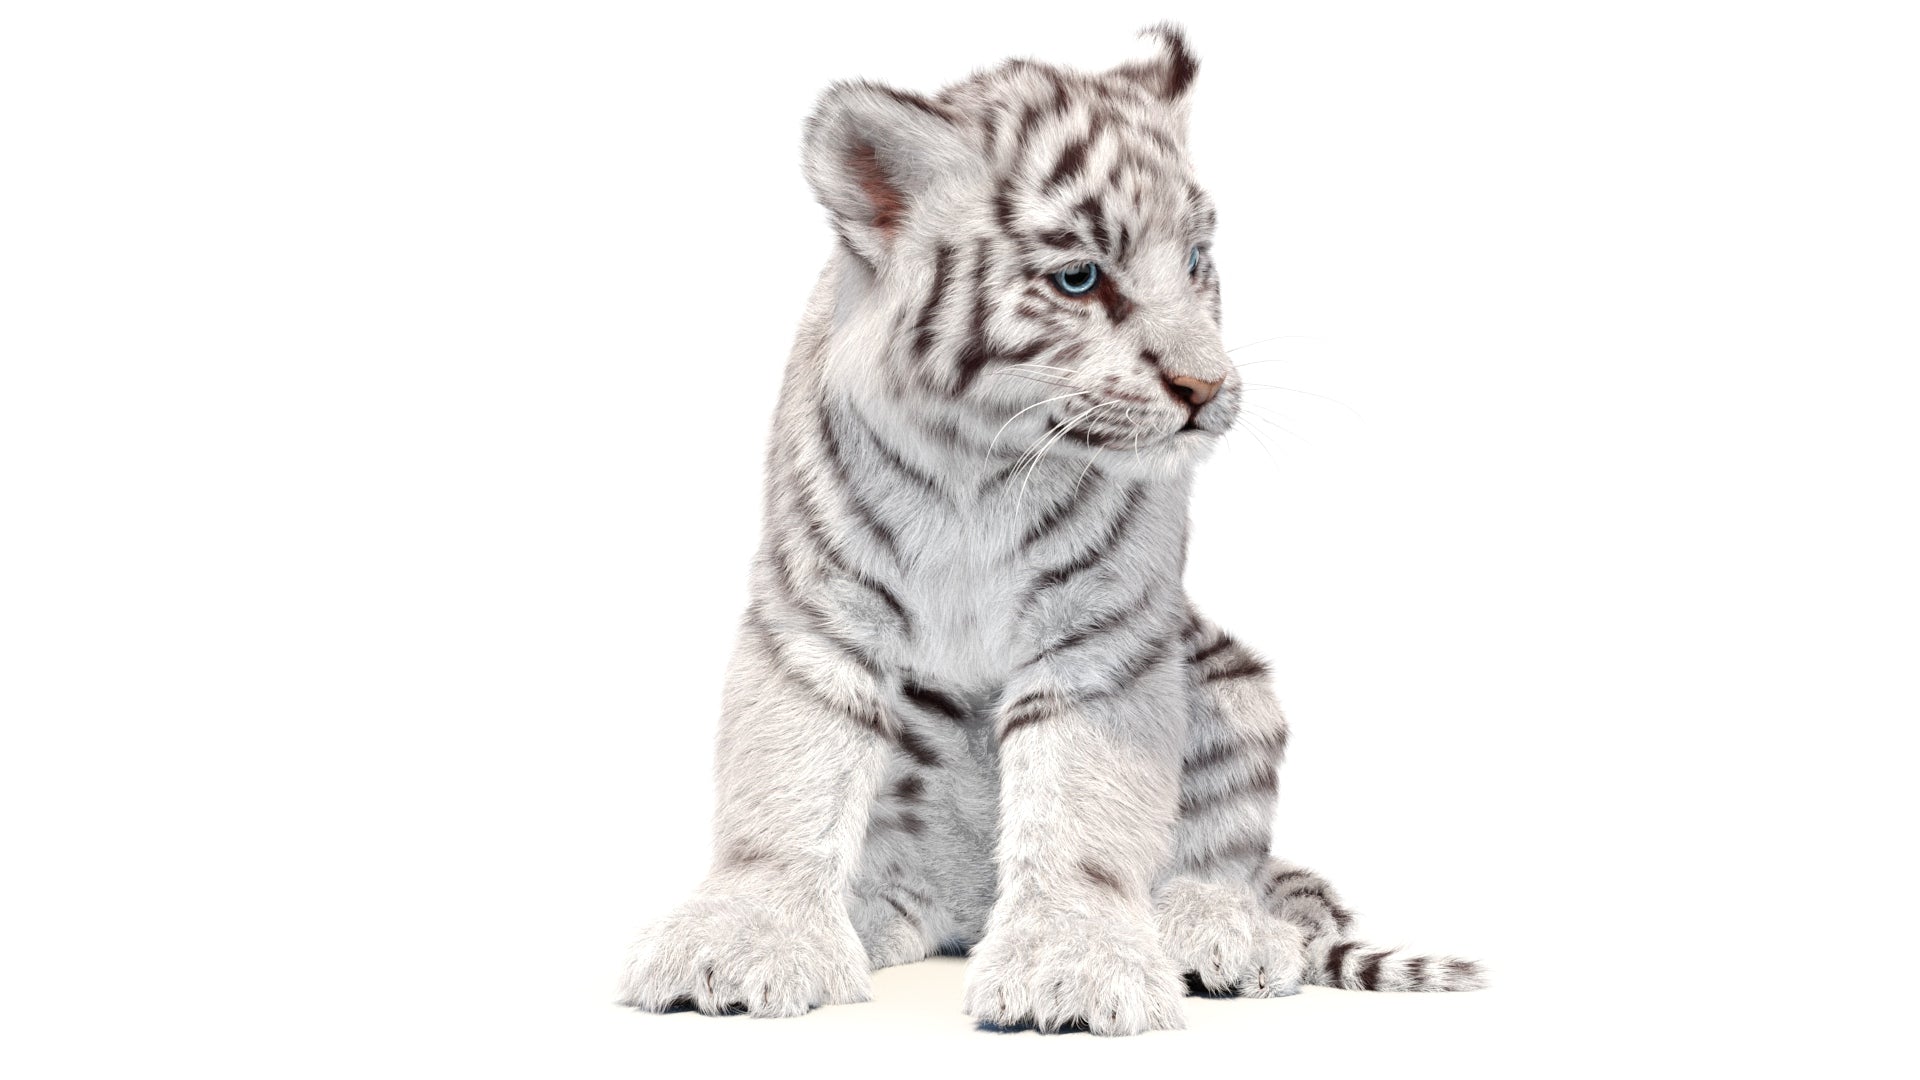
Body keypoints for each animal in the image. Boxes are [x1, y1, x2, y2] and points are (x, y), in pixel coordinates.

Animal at [616, 24, 1484, 1036]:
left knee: (1228, 863)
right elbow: (787, 779)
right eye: (1081, 278)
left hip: (1235, 694)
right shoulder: (817, 609)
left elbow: (1083, 810)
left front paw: (1074, 970)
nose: (1207, 388)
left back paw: (1215, 935)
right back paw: (877, 914)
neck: (978, 455)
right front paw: (736, 944)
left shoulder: (1102, 634)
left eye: (1197, 260)